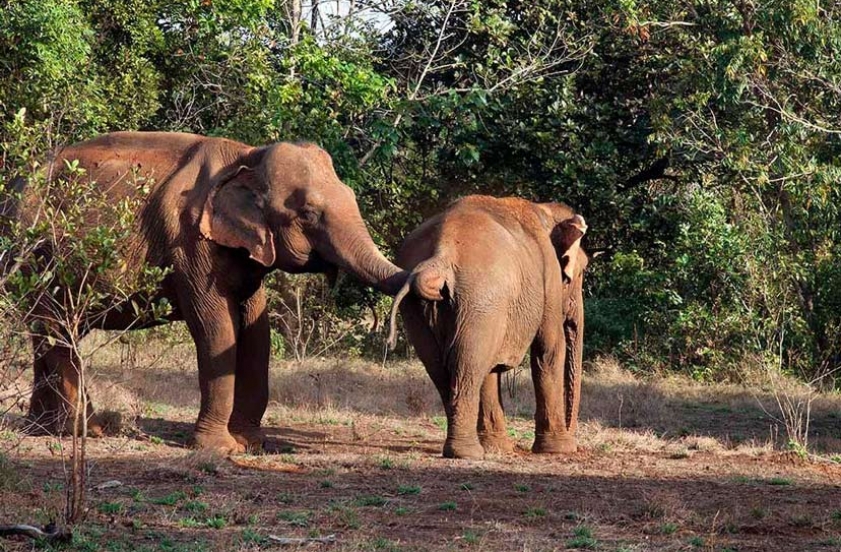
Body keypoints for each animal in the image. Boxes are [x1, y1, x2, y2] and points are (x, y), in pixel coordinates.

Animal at [5, 133, 406, 452]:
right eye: (307, 212)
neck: (248, 154)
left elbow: (257, 331)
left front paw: (252, 444)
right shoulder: (190, 243)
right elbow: (215, 328)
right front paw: (220, 449)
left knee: (49, 334)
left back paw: (45, 428)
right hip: (37, 259)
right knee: (56, 329)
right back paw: (83, 430)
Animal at [386, 196, 584, 460]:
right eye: (579, 274)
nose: (575, 442)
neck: (545, 209)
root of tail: (441, 254)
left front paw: (497, 448)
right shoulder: (548, 276)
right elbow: (549, 349)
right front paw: (558, 449)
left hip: (424, 310)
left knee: (443, 367)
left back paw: (465, 447)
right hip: (481, 298)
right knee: (468, 365)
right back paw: (467, 452)